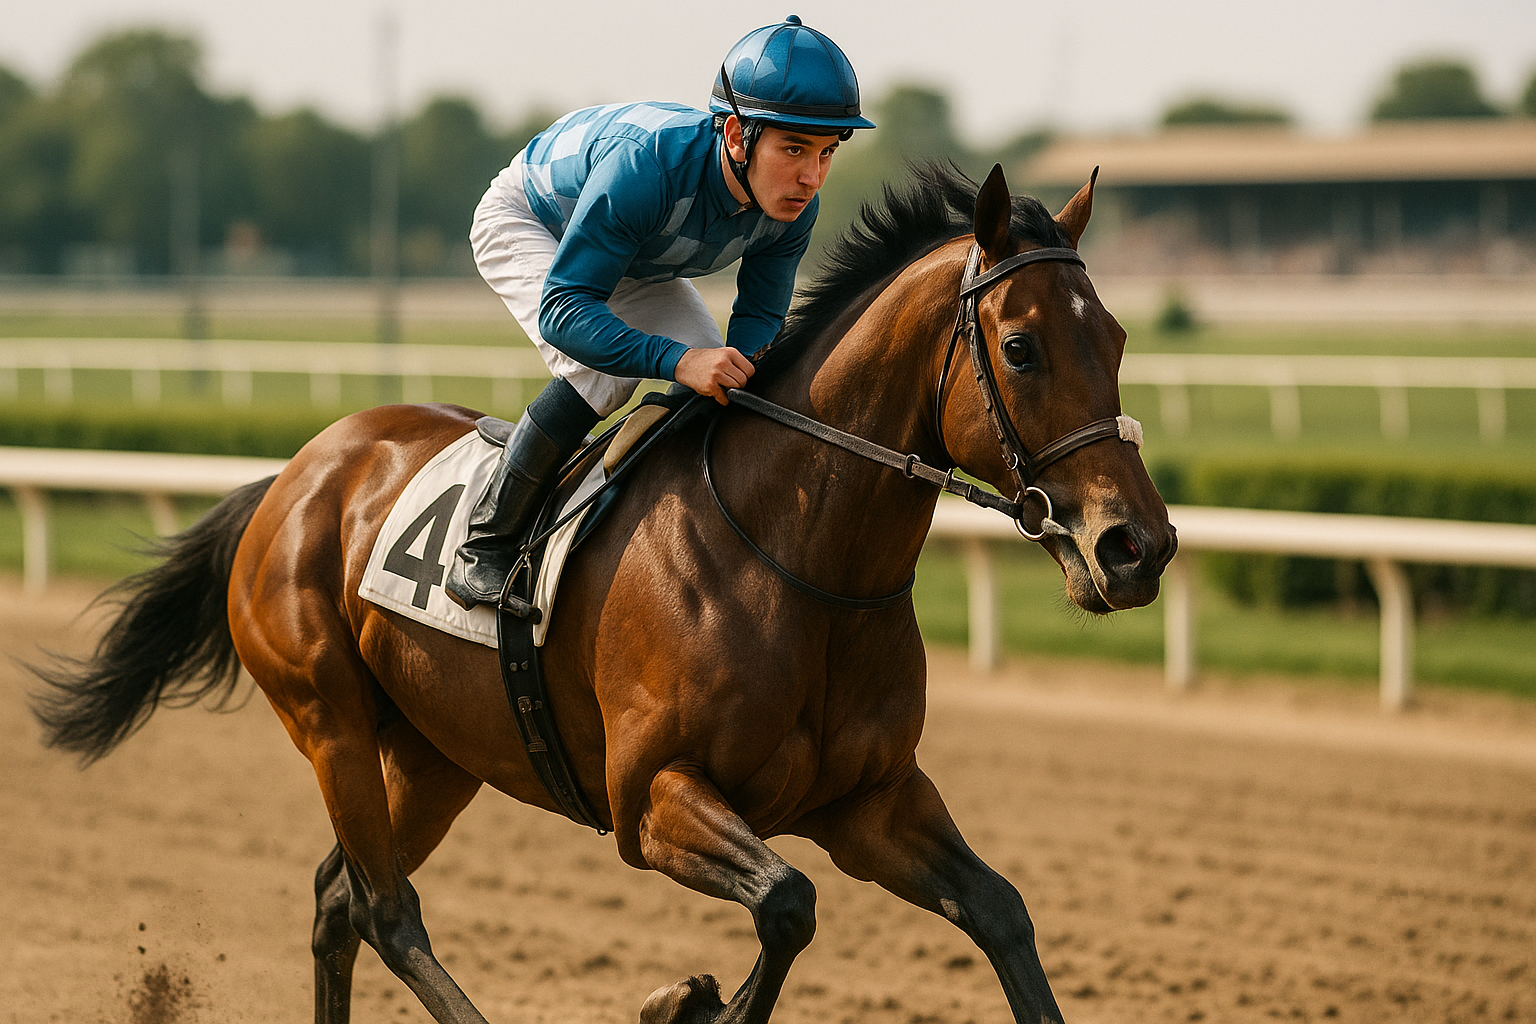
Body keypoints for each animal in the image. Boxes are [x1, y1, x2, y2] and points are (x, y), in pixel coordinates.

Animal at [32, 163, 1176, 1024]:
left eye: (1118, 340)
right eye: (1022, 347)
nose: (1138, 546)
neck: (797, 561)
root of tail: (296, 473)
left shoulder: (871, 799)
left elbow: (1001, 911)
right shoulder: (652, 799)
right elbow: (789, 901)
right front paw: (684, 1002)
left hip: (442, 750)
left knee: (336, 897)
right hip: (330, 721)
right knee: (386, 908)